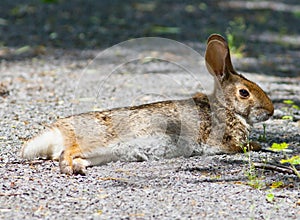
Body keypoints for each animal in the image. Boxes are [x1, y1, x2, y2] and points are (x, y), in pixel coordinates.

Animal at [21, 34, 274, 175]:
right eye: (244, 93)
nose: (271, 111)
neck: (226, 108)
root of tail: (57, 131)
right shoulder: (225, 141)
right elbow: (241, 146)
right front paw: (259, 146)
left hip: (103, 154)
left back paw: (79, 168)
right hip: (95, 141)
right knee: (66, 152)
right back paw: (69, 168)